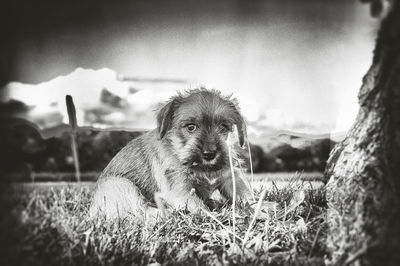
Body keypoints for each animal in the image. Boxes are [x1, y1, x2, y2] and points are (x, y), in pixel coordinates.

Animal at [90, 88, 250, 219]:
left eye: (223, 127)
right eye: (190, 127)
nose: (209, 154)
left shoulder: (229, 176)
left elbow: (244, 193)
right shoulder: (180, 188)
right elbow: (198, 206)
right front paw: (213, 216)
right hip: (121, 184)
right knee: (141, 210)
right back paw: (170, 212)